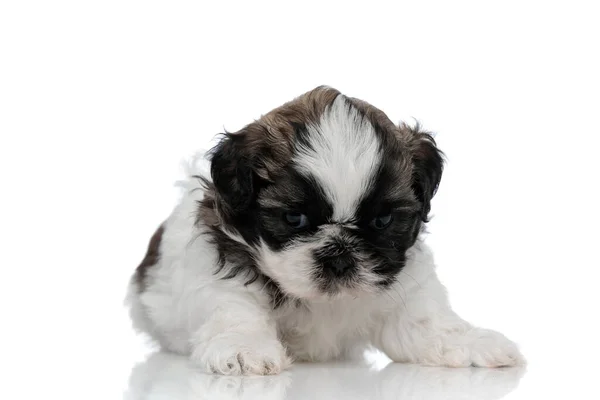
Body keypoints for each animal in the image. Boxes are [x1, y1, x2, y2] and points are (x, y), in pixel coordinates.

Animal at [127, 86, 524, 376]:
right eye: (294, 218)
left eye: (382, 221)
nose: (340, 256)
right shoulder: (221, 271)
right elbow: (234, 310)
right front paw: (244, 347)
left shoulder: (404, 288)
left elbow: (427, 323)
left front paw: (472, 342)